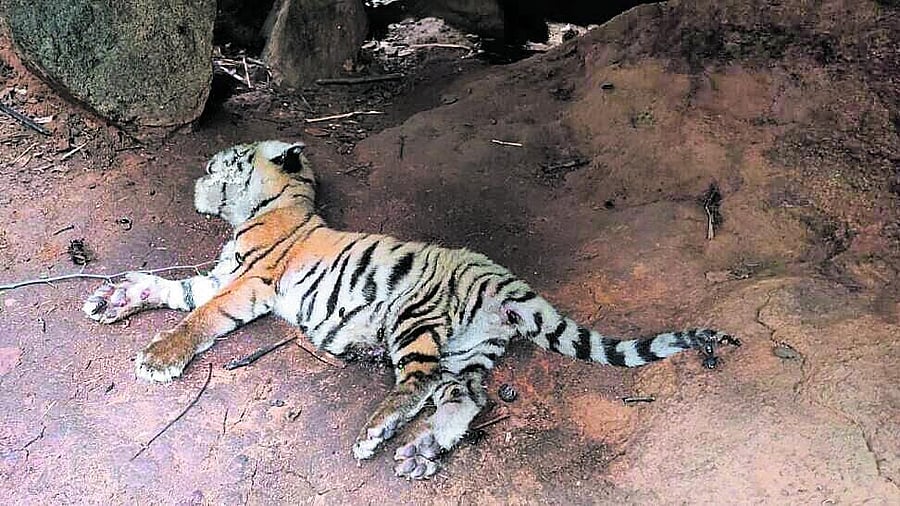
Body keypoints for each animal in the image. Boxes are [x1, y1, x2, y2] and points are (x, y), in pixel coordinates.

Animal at [82, 140, 740, 480]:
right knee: (465, 397)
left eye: (224, 160)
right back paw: (420, 451)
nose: (200, 172)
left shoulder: (247, 283)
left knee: (419, 385)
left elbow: (198, 318)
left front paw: (157, 358)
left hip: (412, 319)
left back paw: (377, 431)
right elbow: (174, 291)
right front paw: (113, 298)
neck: (271, 207)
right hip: (470, 352)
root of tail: (502, 279)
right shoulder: (222, 276)